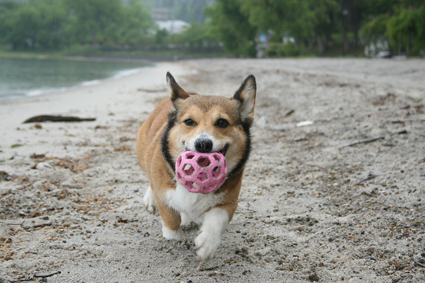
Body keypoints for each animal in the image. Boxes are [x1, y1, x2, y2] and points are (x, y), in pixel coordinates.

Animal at [136, 73, 255, 262]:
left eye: (222, 122)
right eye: (189, 122)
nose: (203, 144)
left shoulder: (229, 201)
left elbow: (217, 219)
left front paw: (207, 243)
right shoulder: (164, 199)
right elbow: (171, 222)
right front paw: (173, 241)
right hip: (143, 153)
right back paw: (150, 198)